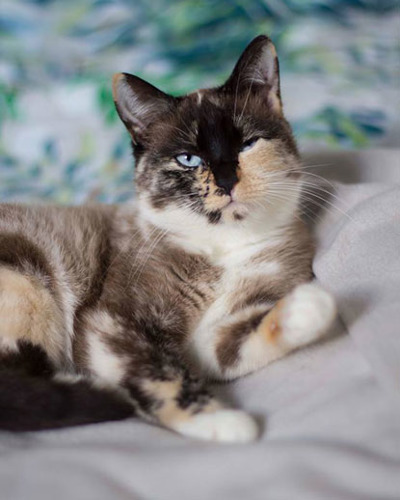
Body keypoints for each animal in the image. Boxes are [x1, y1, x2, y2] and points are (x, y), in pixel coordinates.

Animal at [0, 35, 338, 442]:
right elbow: (161, 372)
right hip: (26, 276)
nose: (227, 180)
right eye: (188, 159)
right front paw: (221, 421)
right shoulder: (113, 320)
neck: (223, 247)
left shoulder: (209, 341)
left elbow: (238, 340)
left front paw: (308, 308)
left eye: (247, 144)